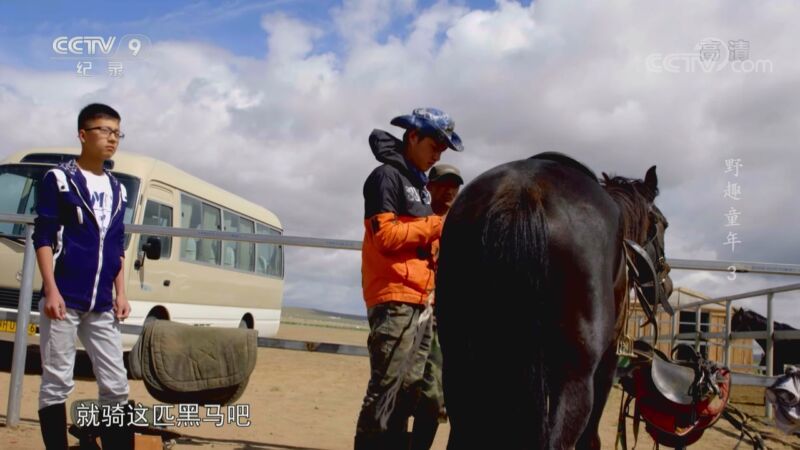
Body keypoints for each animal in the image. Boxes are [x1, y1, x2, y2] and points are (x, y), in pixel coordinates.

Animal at [434, 154, 672, 450]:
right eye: (663, 224)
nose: (667, 285)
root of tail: (522, 193)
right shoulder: (608, 362)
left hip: (459, 367)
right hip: (574, 377)